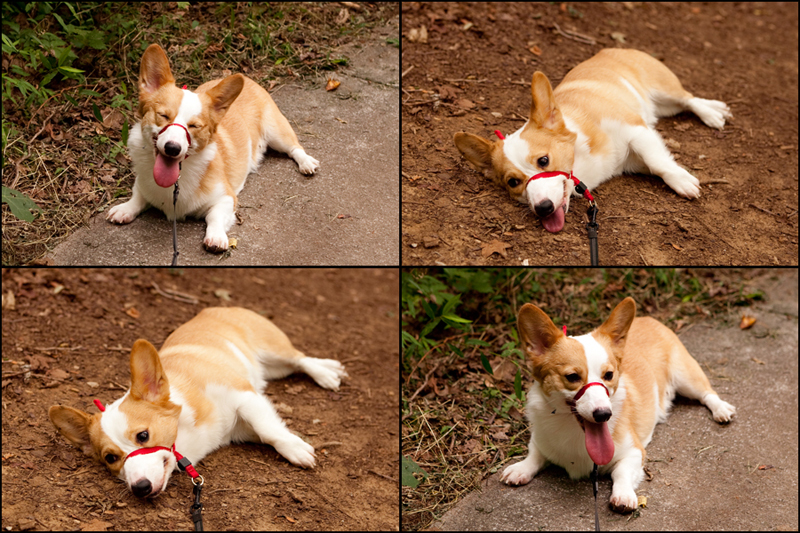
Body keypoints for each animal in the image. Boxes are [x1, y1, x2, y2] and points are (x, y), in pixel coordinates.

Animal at [48, 306, 346, 496]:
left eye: (143, 436)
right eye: (110, 458)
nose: (140, 489)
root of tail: (215, 307)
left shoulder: (244, 396)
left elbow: (269, 429)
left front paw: (296, 449)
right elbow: (266, 430)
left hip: (274, 352)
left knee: (300, 358)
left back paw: (327, 373)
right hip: (274, 368)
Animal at [107, 44, 318, 252]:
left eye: (194, 126)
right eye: (163, 115)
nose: (173, 148)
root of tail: (249, 79)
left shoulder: (226, 198)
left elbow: (214, 216)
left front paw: (216, 237)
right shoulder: (142, 183)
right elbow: (137, 196)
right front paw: (125, 209)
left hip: (276, 132)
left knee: (294, 147)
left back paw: (306, 162)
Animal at [454, 48, 736, 232]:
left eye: (543, 160)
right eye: (513, 182)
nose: (543, 208)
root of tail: (611, 48)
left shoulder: (636, 130)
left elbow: (659, 162)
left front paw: (682, 182)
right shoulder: (635, 157)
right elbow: (656, 163)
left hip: (665, 91)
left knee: (689, 98)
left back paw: (713, 112)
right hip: (665, 107)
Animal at [504, 298, 736, 510]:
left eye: (609, 375)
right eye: (572, 377)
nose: (603, 414)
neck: (575, 435)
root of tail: (648, 318)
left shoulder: (634, 452)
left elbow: (621, 472)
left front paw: (623, 495)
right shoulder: (540, 439)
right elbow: (534, 454)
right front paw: (521, 468)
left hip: (686, 377)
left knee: (707, 393)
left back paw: (721, 409)